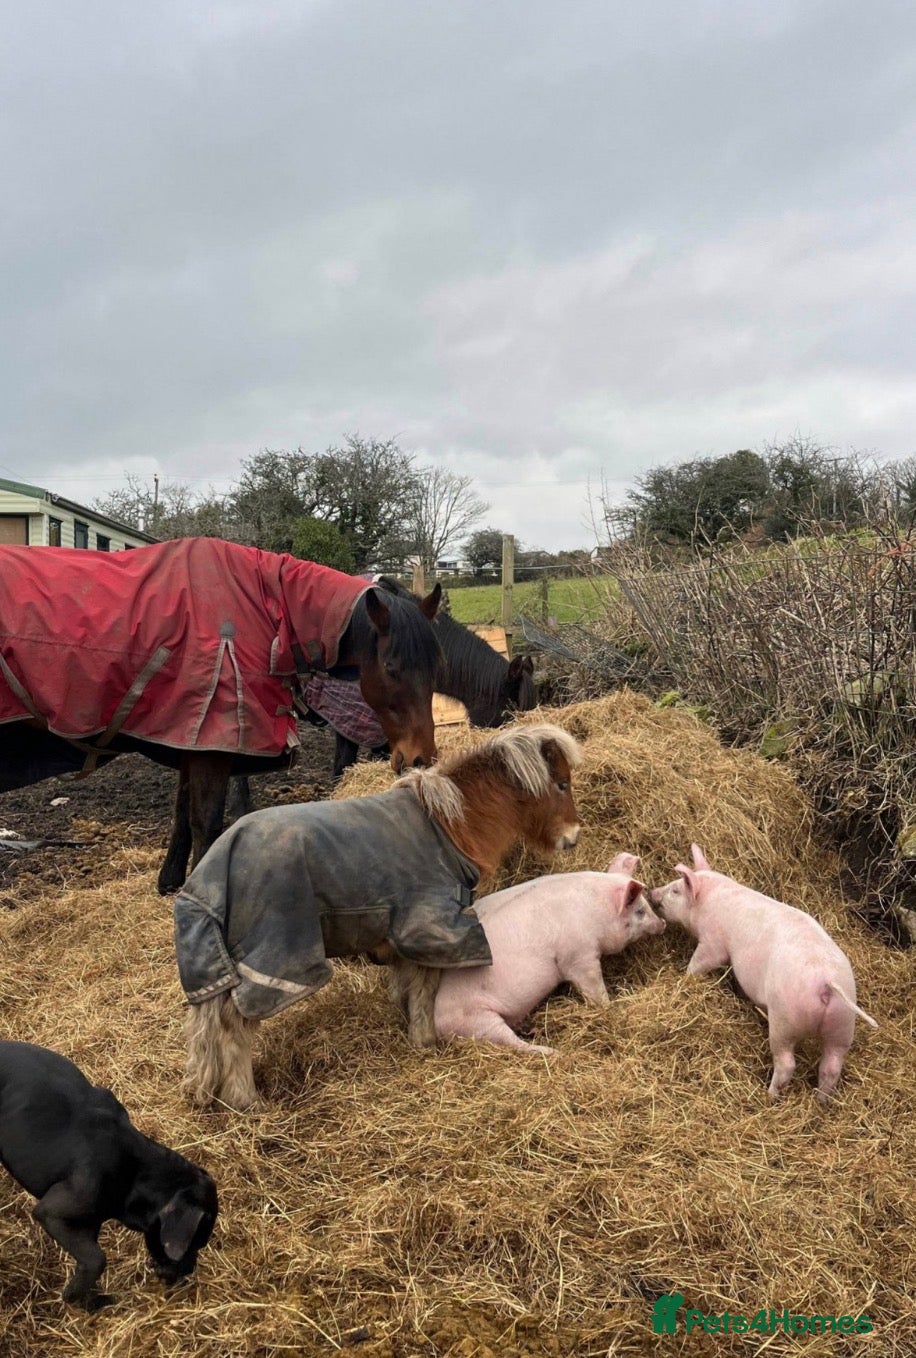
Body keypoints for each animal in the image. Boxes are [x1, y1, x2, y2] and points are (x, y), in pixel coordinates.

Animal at [433, 852, 666, 1053]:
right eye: (640, 911)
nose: (663, 923)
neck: (598, 912)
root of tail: (436, 1022)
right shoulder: (579, 956)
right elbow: (594, 987)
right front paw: (611, 1008)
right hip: (477, 1020)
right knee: (512, 1043)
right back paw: (551, 1051)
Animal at [650, 844, 878, 1102]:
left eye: (676, 890)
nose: (652, 892)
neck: (708, 900)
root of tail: (826, 981)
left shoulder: (713, 942)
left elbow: (701, 961)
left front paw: (685, 977)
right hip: (842, 1024)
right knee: (831, 1067)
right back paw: (821, 1102)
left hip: (785, 1019)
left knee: (787, 1064)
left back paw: (769, 1096)